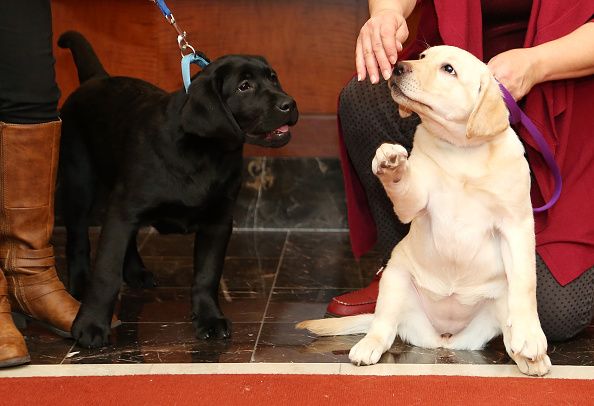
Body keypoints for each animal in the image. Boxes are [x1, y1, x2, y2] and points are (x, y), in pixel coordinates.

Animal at [57, 31, 298, 348]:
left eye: (273, 78)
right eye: (244, 87)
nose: (290, 104)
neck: (205, 152)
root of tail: (97, 78)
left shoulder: (218, 220)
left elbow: (207, 274)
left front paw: (209, 319)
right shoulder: (124, 208)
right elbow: (106, 271)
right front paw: (91, 324)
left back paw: (136, 272)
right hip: (79, 181)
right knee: (77, 237)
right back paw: (80, 284)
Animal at [296, 45, 552, 378]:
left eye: (448, 69)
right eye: (421, 56)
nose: (397, 68)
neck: (462, 152)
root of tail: (445, 339)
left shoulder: (517, 224)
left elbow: (525, 283)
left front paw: (531, 338)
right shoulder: (416, 202)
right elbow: (404, 187)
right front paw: (391, 163)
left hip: (497, 302)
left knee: (508, 336)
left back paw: (529, 358)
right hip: (395, 280)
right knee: (383, 327)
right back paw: (367, 345)